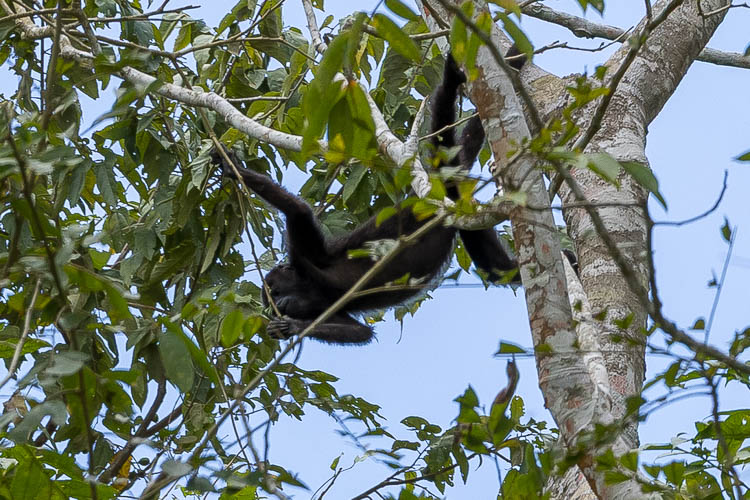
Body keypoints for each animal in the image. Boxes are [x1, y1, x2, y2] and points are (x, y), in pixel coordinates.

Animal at [213, 56, 519, 345]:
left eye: (275, 293)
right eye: (271, 305)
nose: (279, 307)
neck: (310, 287)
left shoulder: (308, 254)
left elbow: (298, 211)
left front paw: (234, 168)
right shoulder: (328, 307)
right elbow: (361, 333)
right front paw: (287, 328)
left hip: (445, 185)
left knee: (442, 135)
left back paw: (451, 79)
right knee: (496, 269)